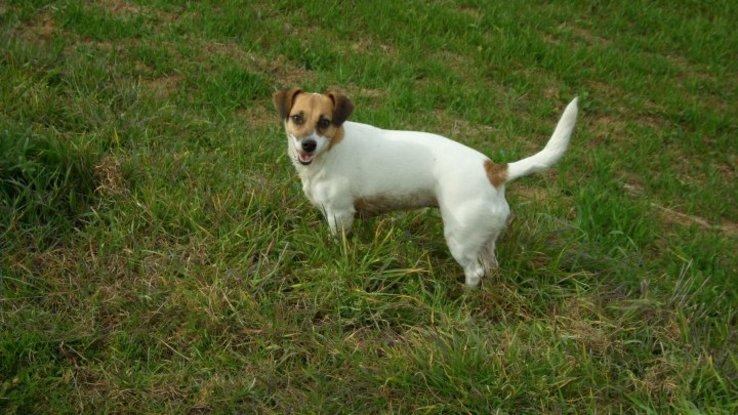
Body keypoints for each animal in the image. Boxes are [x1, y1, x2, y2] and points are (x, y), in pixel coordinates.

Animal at [272, 88, 576, 288]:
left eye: (324, 122)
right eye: (298, 118)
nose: (308, 144)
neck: (331, 149)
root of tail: (495, 171)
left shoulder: (340, 214)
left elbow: (338, 241)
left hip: (460, 240)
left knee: (474, 272)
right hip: (485, 239)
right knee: (490, 266)